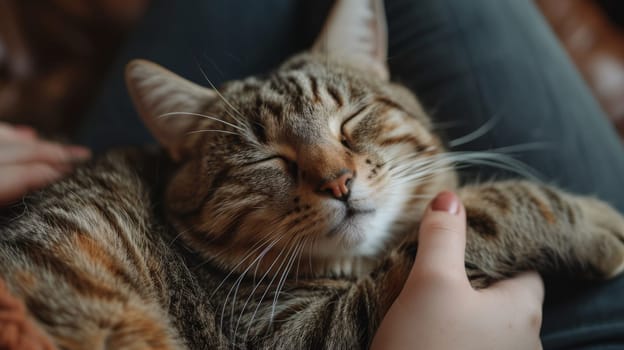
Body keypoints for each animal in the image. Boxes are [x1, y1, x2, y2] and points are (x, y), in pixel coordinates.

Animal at [1, 0, 624, 348]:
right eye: (267, 157)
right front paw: (593, 221)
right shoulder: (297, 332)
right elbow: (493, 210)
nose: (338, 182)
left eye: (350, 120)